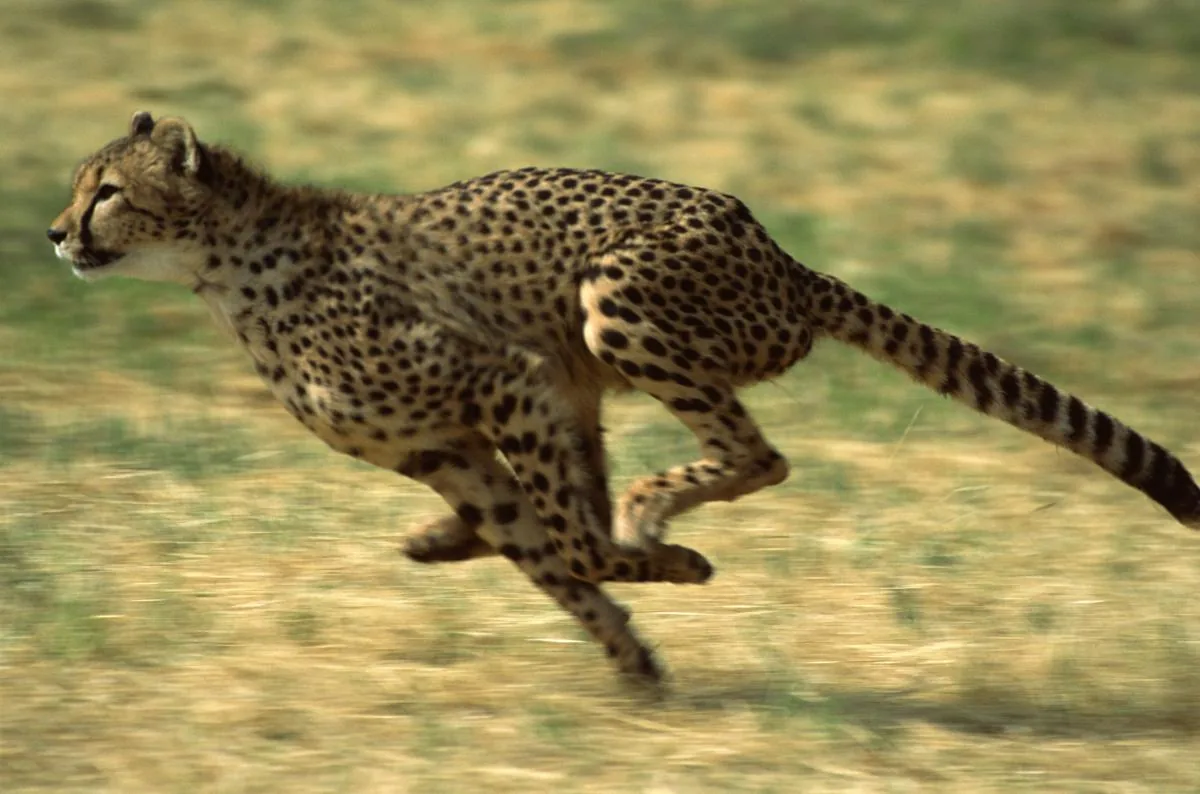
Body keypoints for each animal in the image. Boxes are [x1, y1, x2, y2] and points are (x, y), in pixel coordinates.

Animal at [47, 112, 1200, 683]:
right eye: (78, 184)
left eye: (108, 191)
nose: (56, 233)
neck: (227, 265)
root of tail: (778, 254)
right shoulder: (449, 446)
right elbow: (551, 554)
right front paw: (633, 656)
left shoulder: (502, 380)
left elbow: (573, 544)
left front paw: (668, 568)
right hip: (586, 370)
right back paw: (470, 539)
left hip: (615, 303)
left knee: (756, 457)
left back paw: (652, 513)